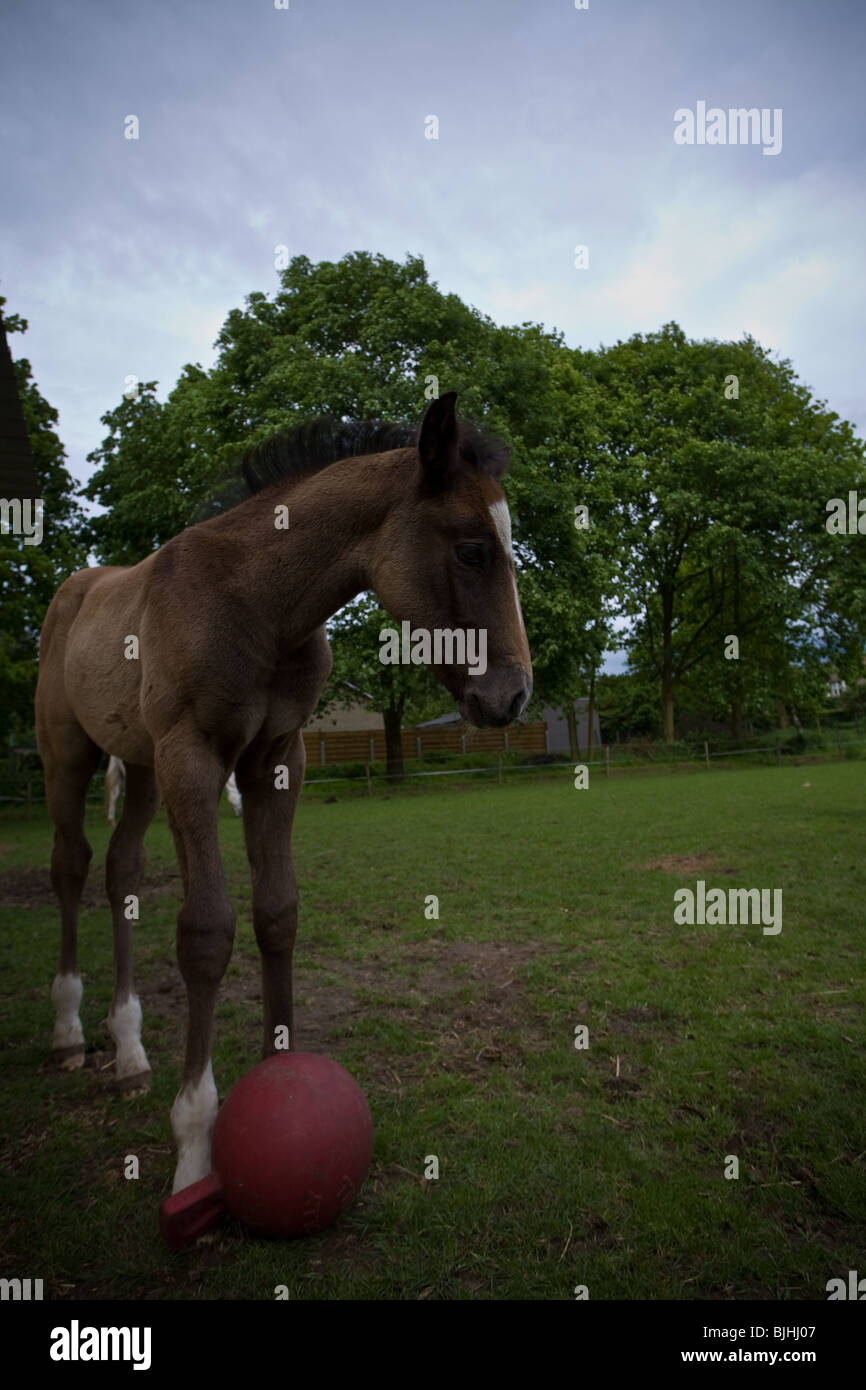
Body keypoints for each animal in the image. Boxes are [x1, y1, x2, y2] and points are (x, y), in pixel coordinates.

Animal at [37, 394, 530, 1195]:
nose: (512, 696)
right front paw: (195, 1150)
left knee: (122, 875)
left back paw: (131, 1051)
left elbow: (277, 913)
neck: (256, 601)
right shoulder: (192, 757)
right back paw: (70, 1032)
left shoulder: (276, 759)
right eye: (471, 550)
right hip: (68, 754)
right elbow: (207, 933)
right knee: (71, 867)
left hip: (139, 768)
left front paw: (280, 1076)